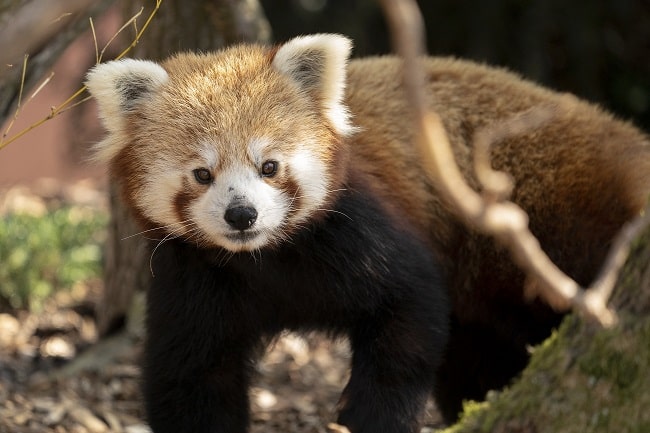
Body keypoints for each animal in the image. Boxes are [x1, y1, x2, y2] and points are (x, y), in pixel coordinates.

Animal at [86, 34, 648, 432]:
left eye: (269, 166)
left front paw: (369, 418)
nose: (241, 215)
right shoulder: (194, 279)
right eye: (202, 174)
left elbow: (408, 314)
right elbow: (192, 377)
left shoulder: (360, 231)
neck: (267, 259)